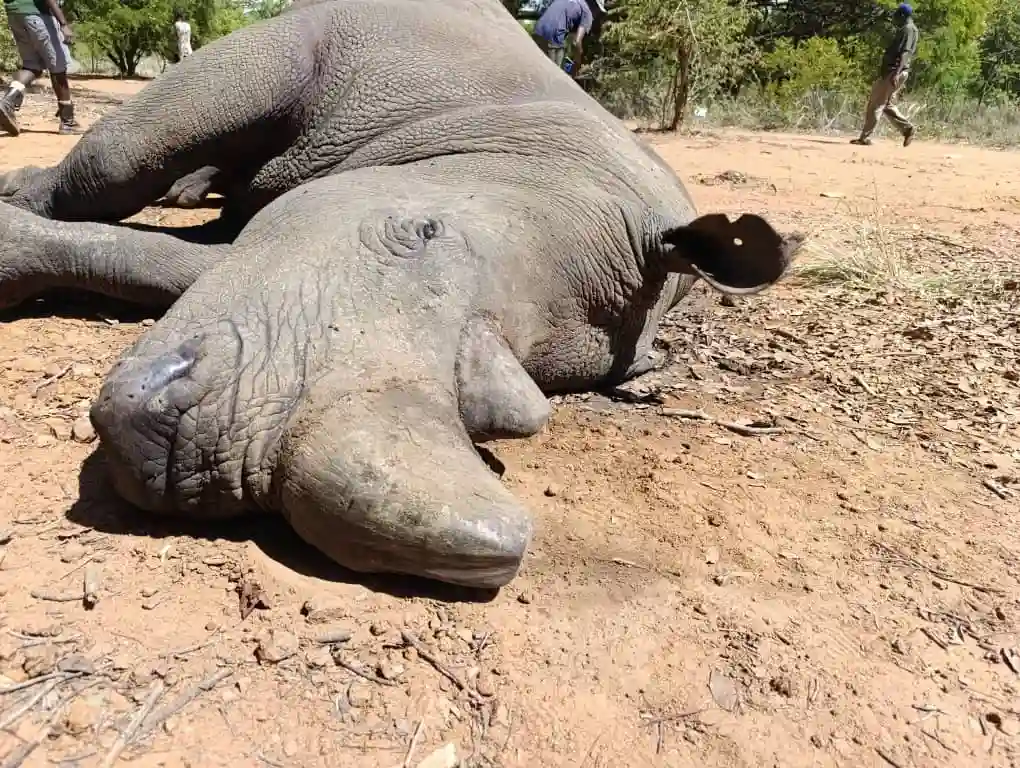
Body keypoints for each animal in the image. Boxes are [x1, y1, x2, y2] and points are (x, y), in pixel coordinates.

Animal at [0, 0, 795, 587]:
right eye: (419, 230)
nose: (218, 457)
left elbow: (181, 261)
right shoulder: (336, 46)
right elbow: (124, 173)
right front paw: (12, 215)